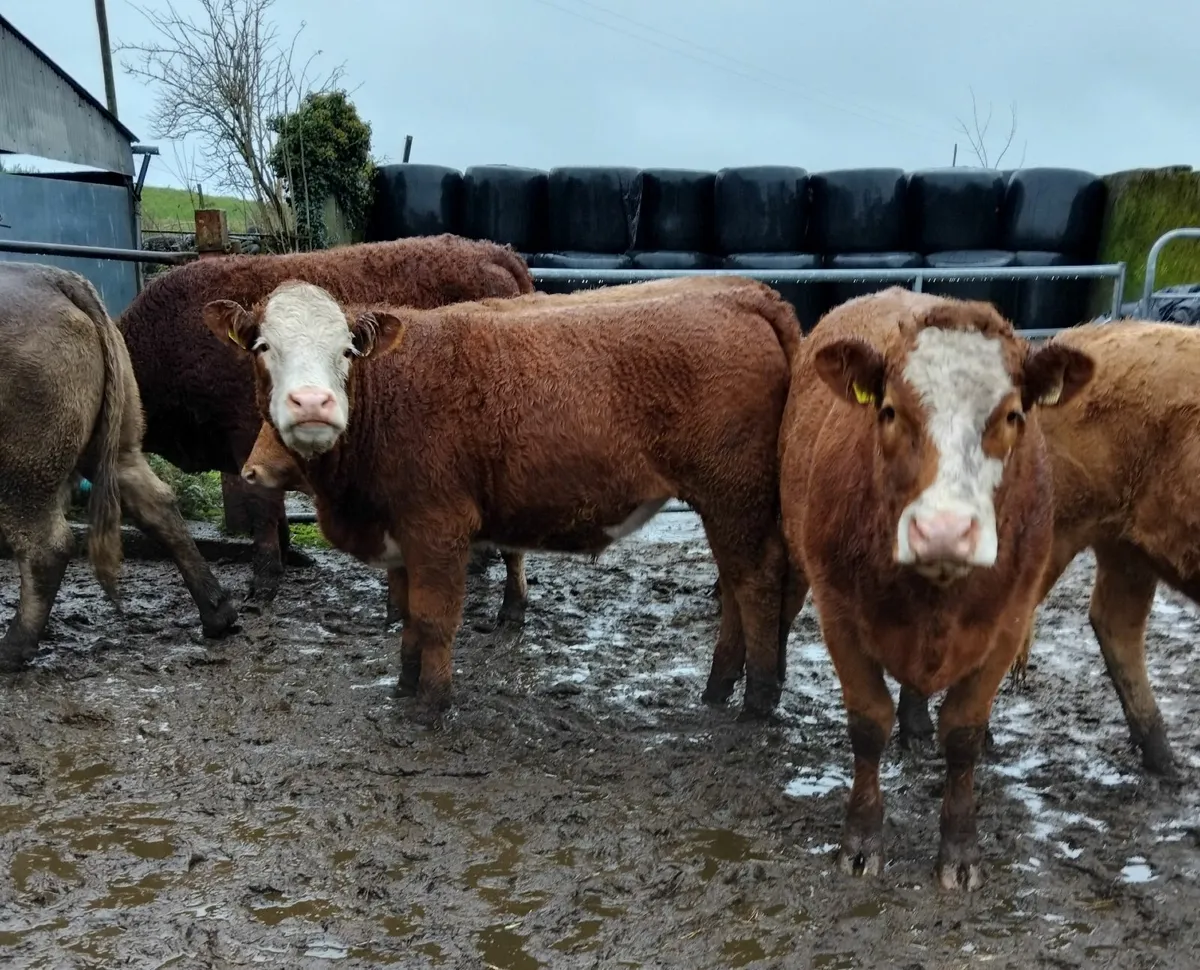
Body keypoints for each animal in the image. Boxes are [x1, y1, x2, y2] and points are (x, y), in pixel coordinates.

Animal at [0, 262, 238, 671]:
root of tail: (53, 277)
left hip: (22, 464)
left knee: (46, 545)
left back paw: (10, 650)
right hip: (116, 442)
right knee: (155, 503)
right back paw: (217, 615)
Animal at [777, 286, 1094, 890]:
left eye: (1013, 414)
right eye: (889, 410)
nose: (944, 530)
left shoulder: (1008, 622)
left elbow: (964, 735)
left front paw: (960, 851)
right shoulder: (838, 615)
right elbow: (867, 724)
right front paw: (861, 841)